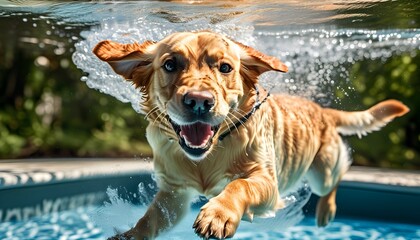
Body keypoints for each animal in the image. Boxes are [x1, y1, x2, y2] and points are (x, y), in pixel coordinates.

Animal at [92, 31, 410, 239]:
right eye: (170, 64)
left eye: (225, 67)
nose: (199, 101)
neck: (209, 154)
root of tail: (322, 109)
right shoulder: (174, 194)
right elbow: (149, 220)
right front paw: (130, 235)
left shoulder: (266, 183)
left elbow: (239, 186)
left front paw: (219, 213)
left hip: (322, 172)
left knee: (336, 177)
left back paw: (325, 210)